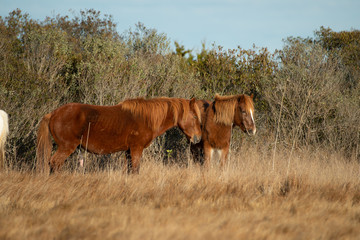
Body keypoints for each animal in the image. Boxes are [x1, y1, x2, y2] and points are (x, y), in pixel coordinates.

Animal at [36, 96, 202, 173]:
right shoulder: (136, 149)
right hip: (66, 147)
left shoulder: (128, 151)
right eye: (194, 116)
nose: (198, 138)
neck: (145, 118)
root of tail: (53, 114)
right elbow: (135, 170)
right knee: (55, 163)